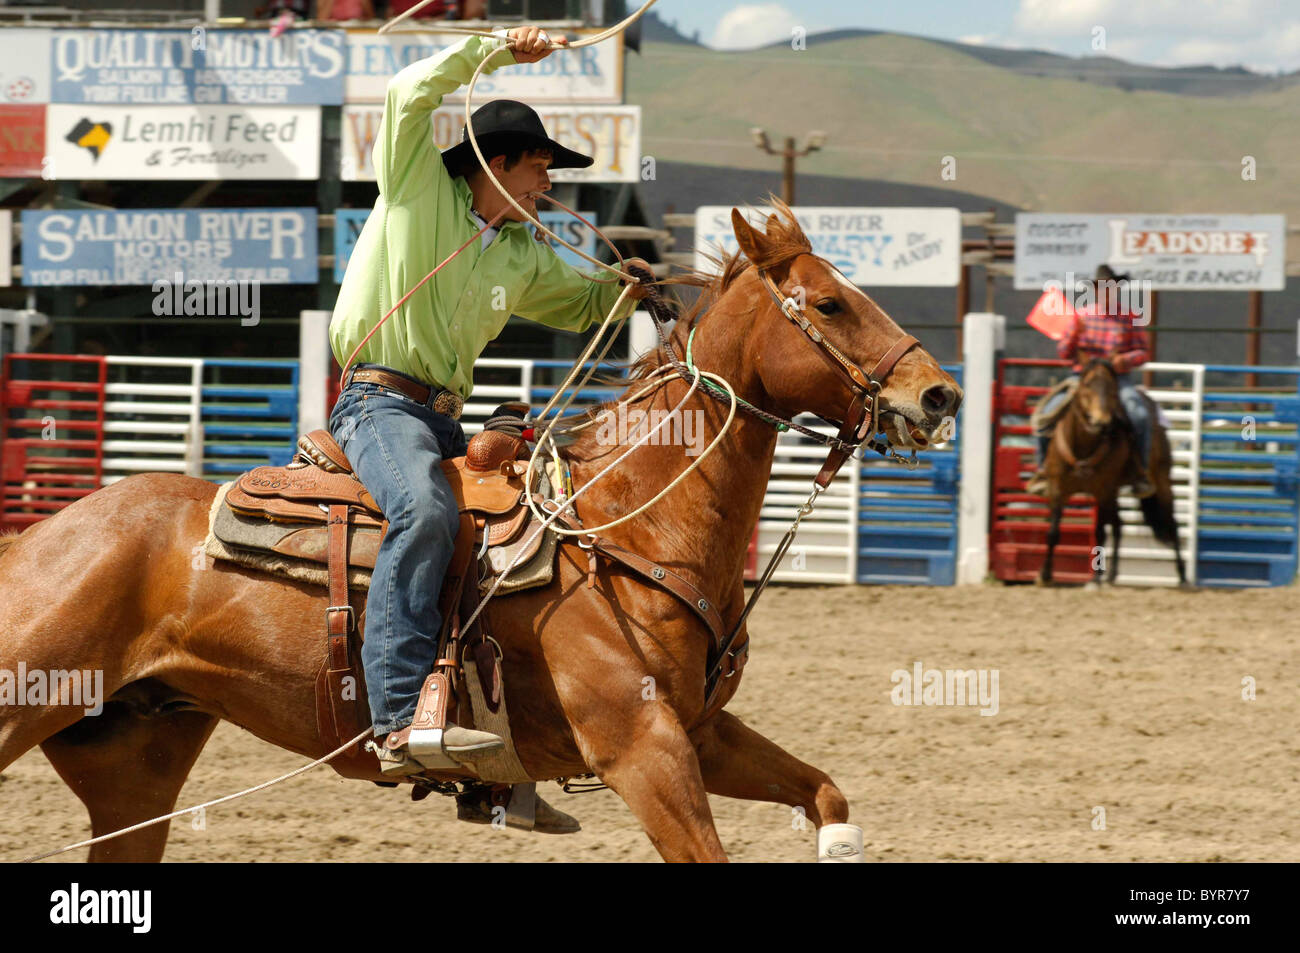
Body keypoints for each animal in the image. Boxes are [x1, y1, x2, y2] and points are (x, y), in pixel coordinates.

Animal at [0, 202, 961, 863]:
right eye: (830, 305)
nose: (940, 394)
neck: (632, 525)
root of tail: (44, 534)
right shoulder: (640, 746)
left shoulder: (700, 732)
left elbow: (827, 794)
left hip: (135, 763)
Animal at [1034, 358, 1190, 587]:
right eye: (1087, 385)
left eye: (1113, 390)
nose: (1101, 421)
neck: (1083, 447)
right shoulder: (1058, 489)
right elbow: (1053, 532)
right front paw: (1044, 575)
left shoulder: (1102, 490)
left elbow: (1099, 532)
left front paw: (1094, 580)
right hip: (1115, 491)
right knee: (1118, 524)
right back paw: (1113, 574)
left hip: (1161, 481)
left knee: (1172, 524)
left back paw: (1183, 576)